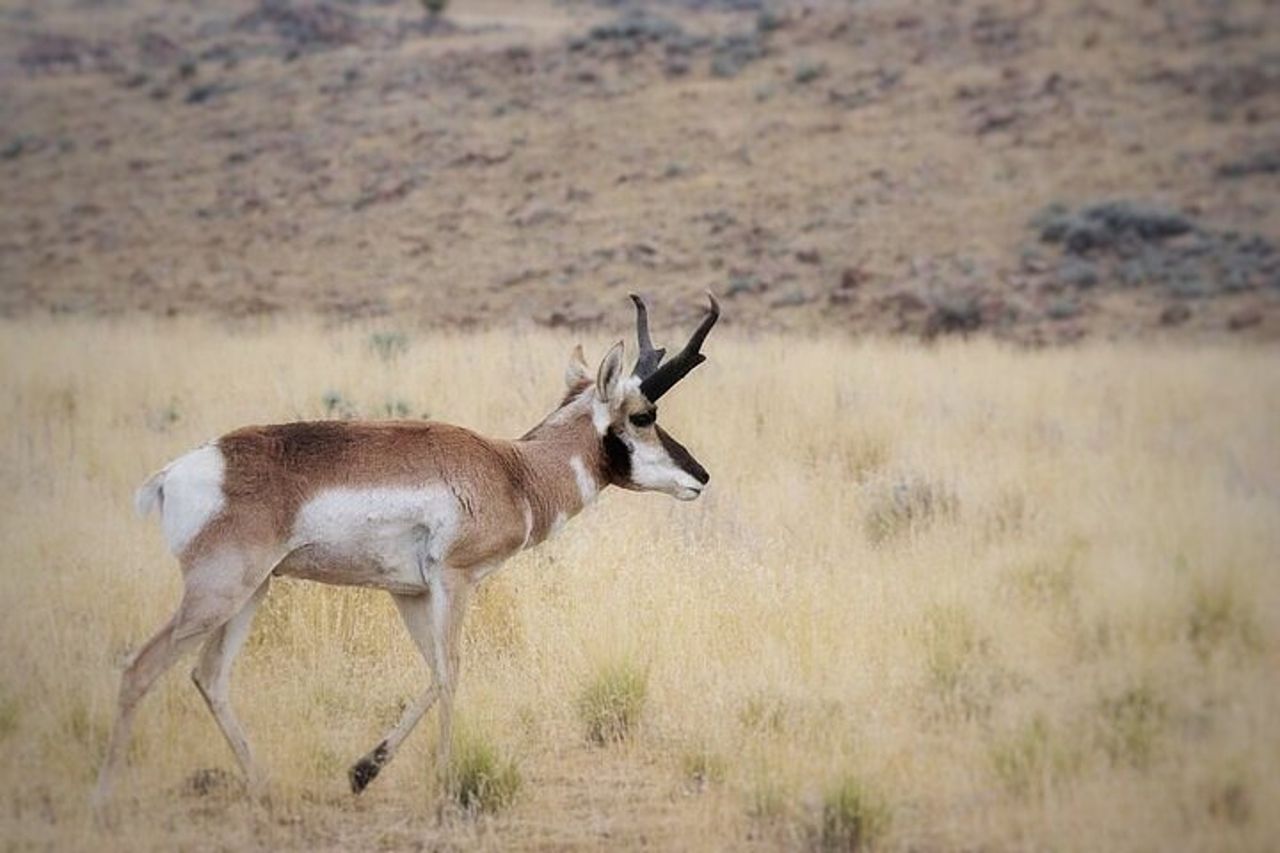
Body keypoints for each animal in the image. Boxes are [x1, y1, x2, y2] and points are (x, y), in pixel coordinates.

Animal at [92, 293, 719, 811]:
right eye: (643, 415)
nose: (701, 476)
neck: (512, 471)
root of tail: (179, 472)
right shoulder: (454, 581)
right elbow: (453, 671)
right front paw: (444, 783)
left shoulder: (410, 593)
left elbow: (435, 672)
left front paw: (362, 771)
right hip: (219, 592)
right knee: (140, 668)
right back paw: (105, 805)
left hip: (251, 592)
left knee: (210, 677)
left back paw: (263, 788)